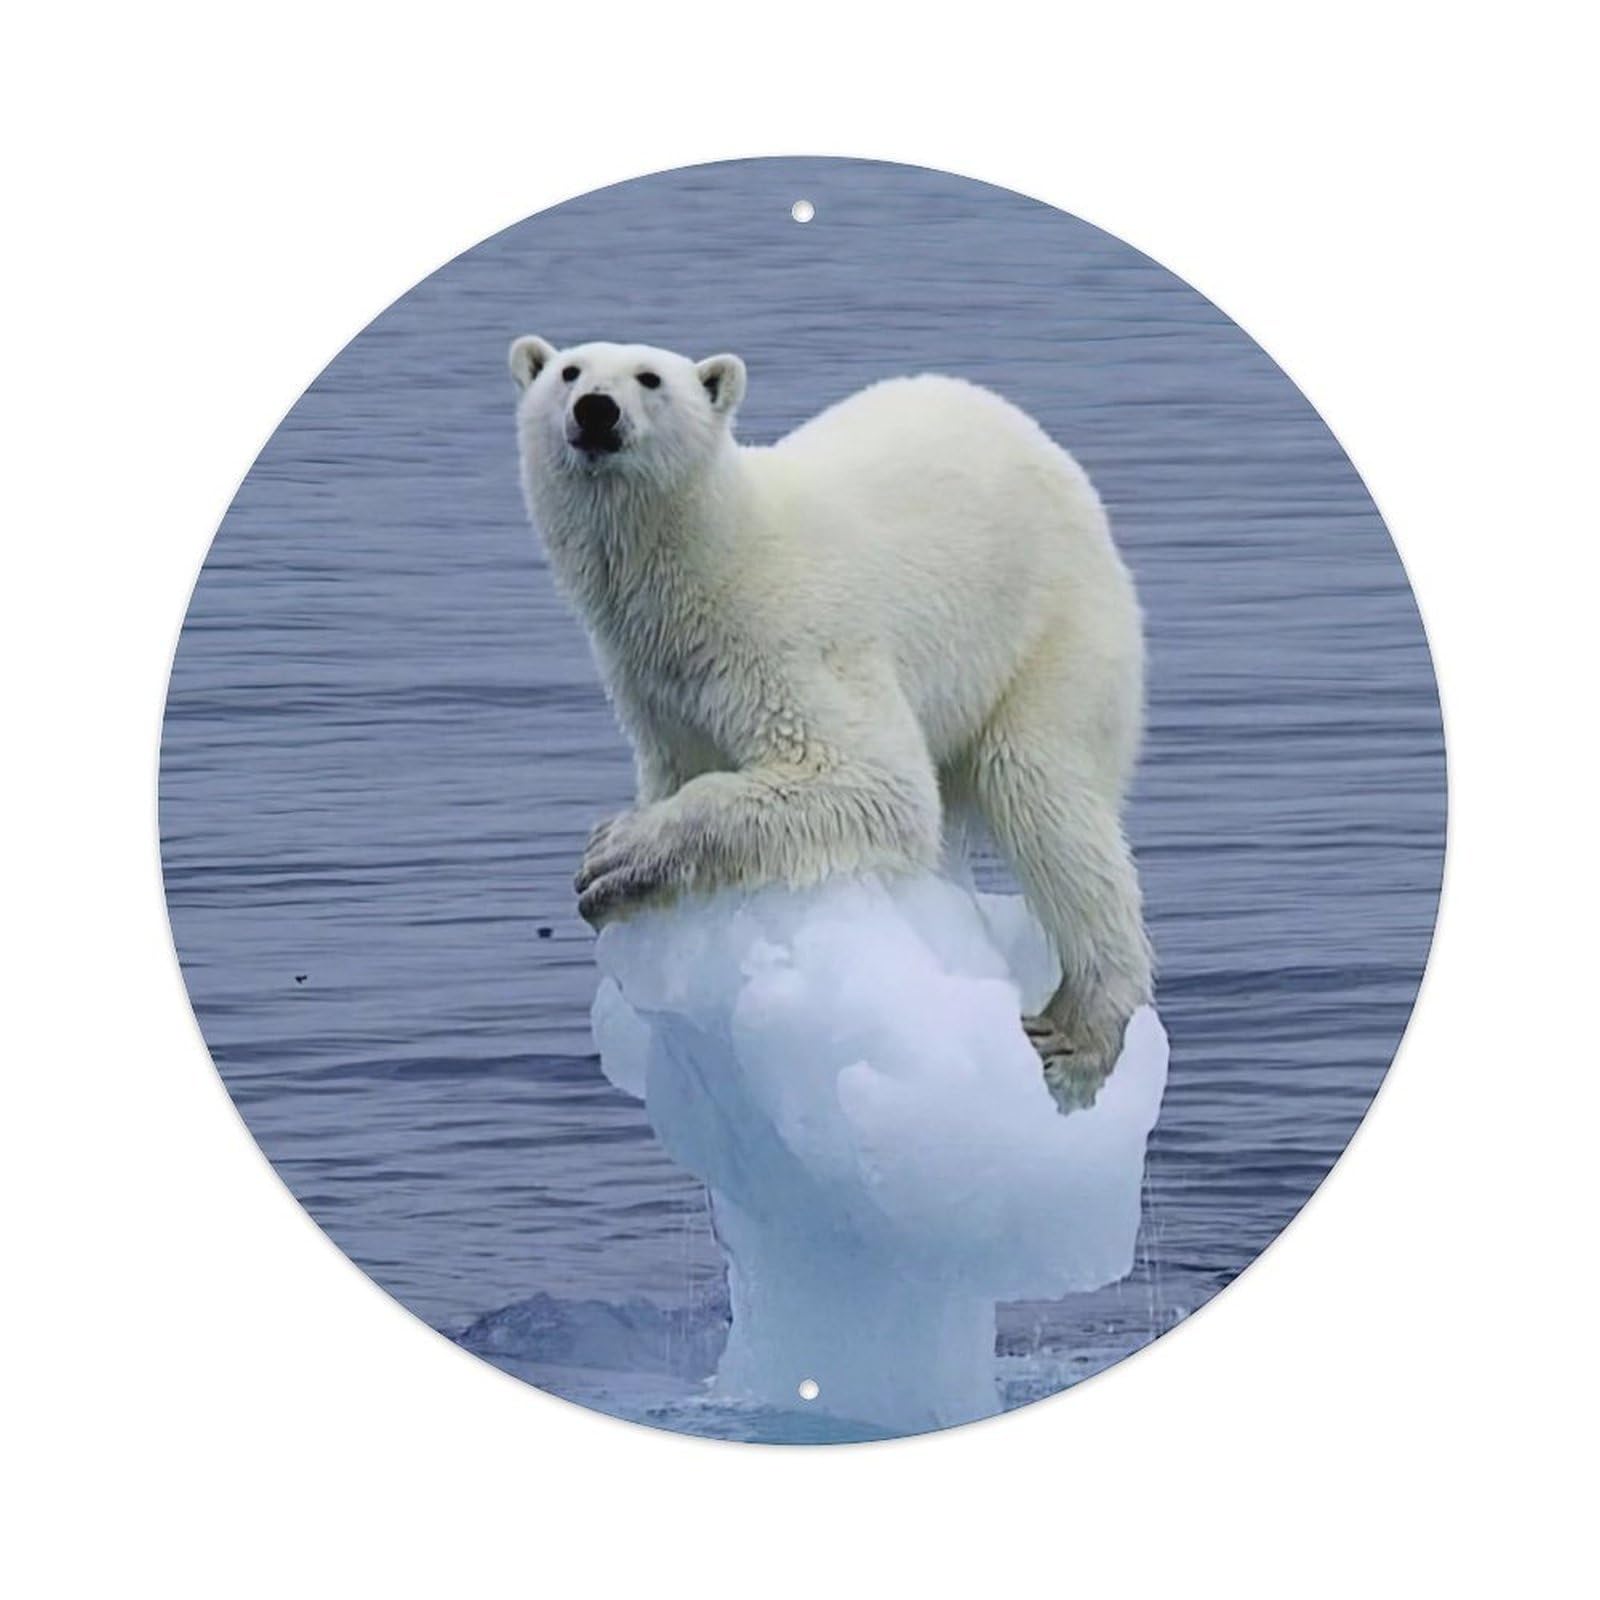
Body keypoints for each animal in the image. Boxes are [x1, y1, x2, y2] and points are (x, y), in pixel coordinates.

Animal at [510, 337, 1152, 1108]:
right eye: (568, 371)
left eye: (650, 377)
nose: (595, 411)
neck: (709, 556)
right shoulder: (656, 685)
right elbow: (683, 765)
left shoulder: (785, 638)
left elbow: (869, 778)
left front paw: (614, 856)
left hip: (1054, 628)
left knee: (1045, 795)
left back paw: (1079, 1033)